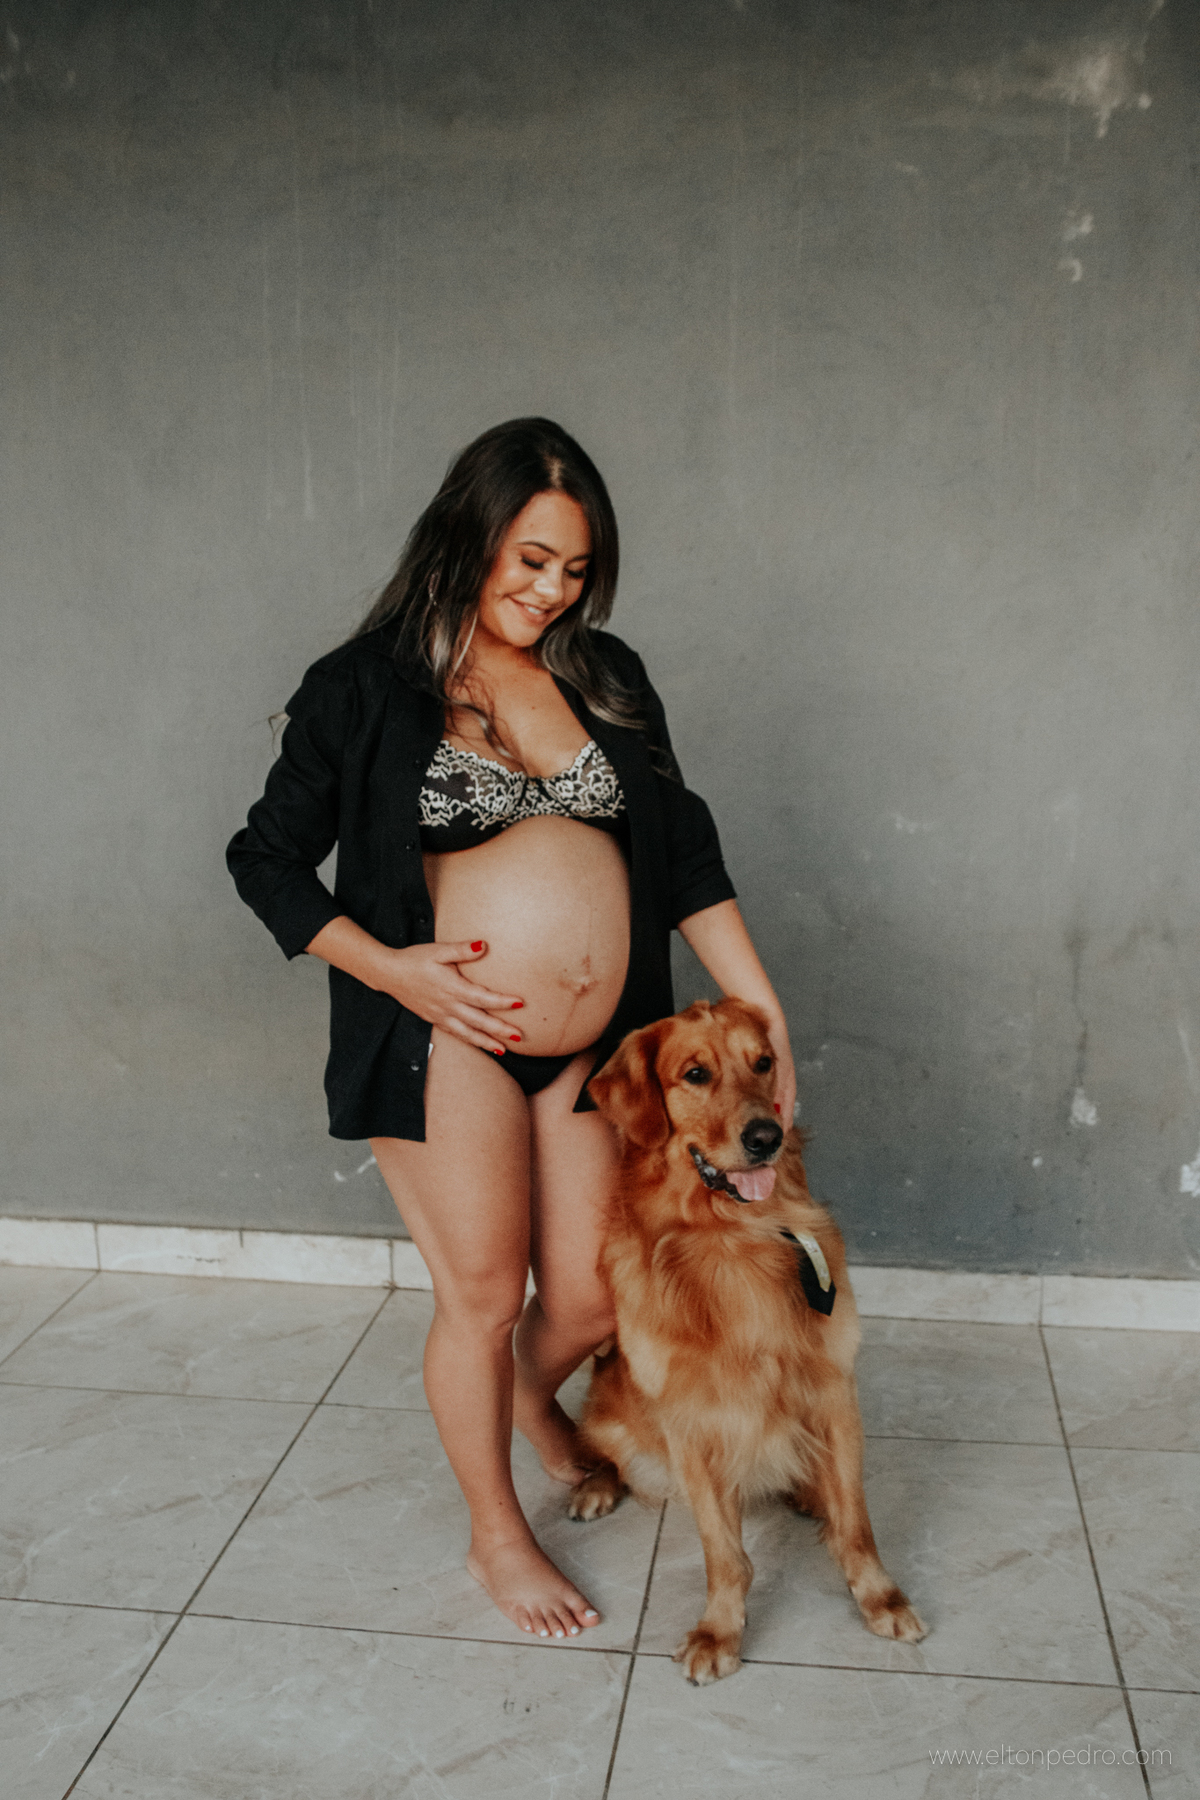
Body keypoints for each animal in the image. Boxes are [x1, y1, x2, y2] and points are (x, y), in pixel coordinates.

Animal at [568, 996, 926, 1684]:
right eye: (695, 1074)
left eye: (763, 1063)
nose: (766, 1137)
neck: (733, 1237)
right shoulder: (691, 1424)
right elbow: (724, 1552)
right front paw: (719, 1631)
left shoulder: (835, 1391)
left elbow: (858, 1522)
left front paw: (880, 1598)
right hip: (608, 1416)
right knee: (601, 1452)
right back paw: (595, 1485)